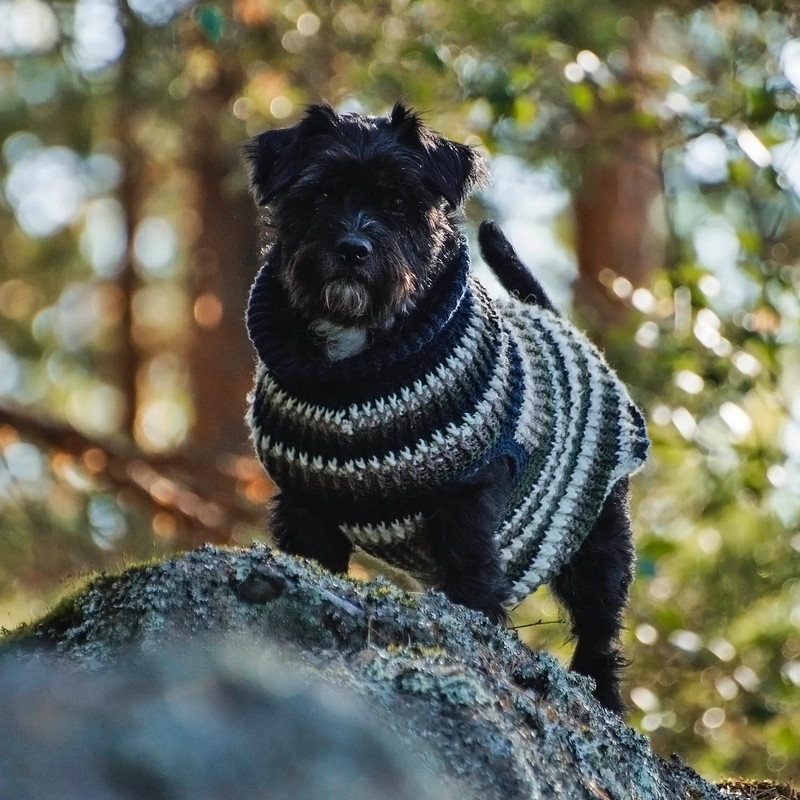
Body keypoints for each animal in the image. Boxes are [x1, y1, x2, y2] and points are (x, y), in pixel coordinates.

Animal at [241, 103, 648, 708]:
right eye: (319, 195)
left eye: (398, 202)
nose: (353, 248)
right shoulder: (304, 501)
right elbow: (314, 557)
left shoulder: (470, 491)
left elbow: (471, 565)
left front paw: (474, 629)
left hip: (597, 541)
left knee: (599, 621)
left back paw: (601, 691)